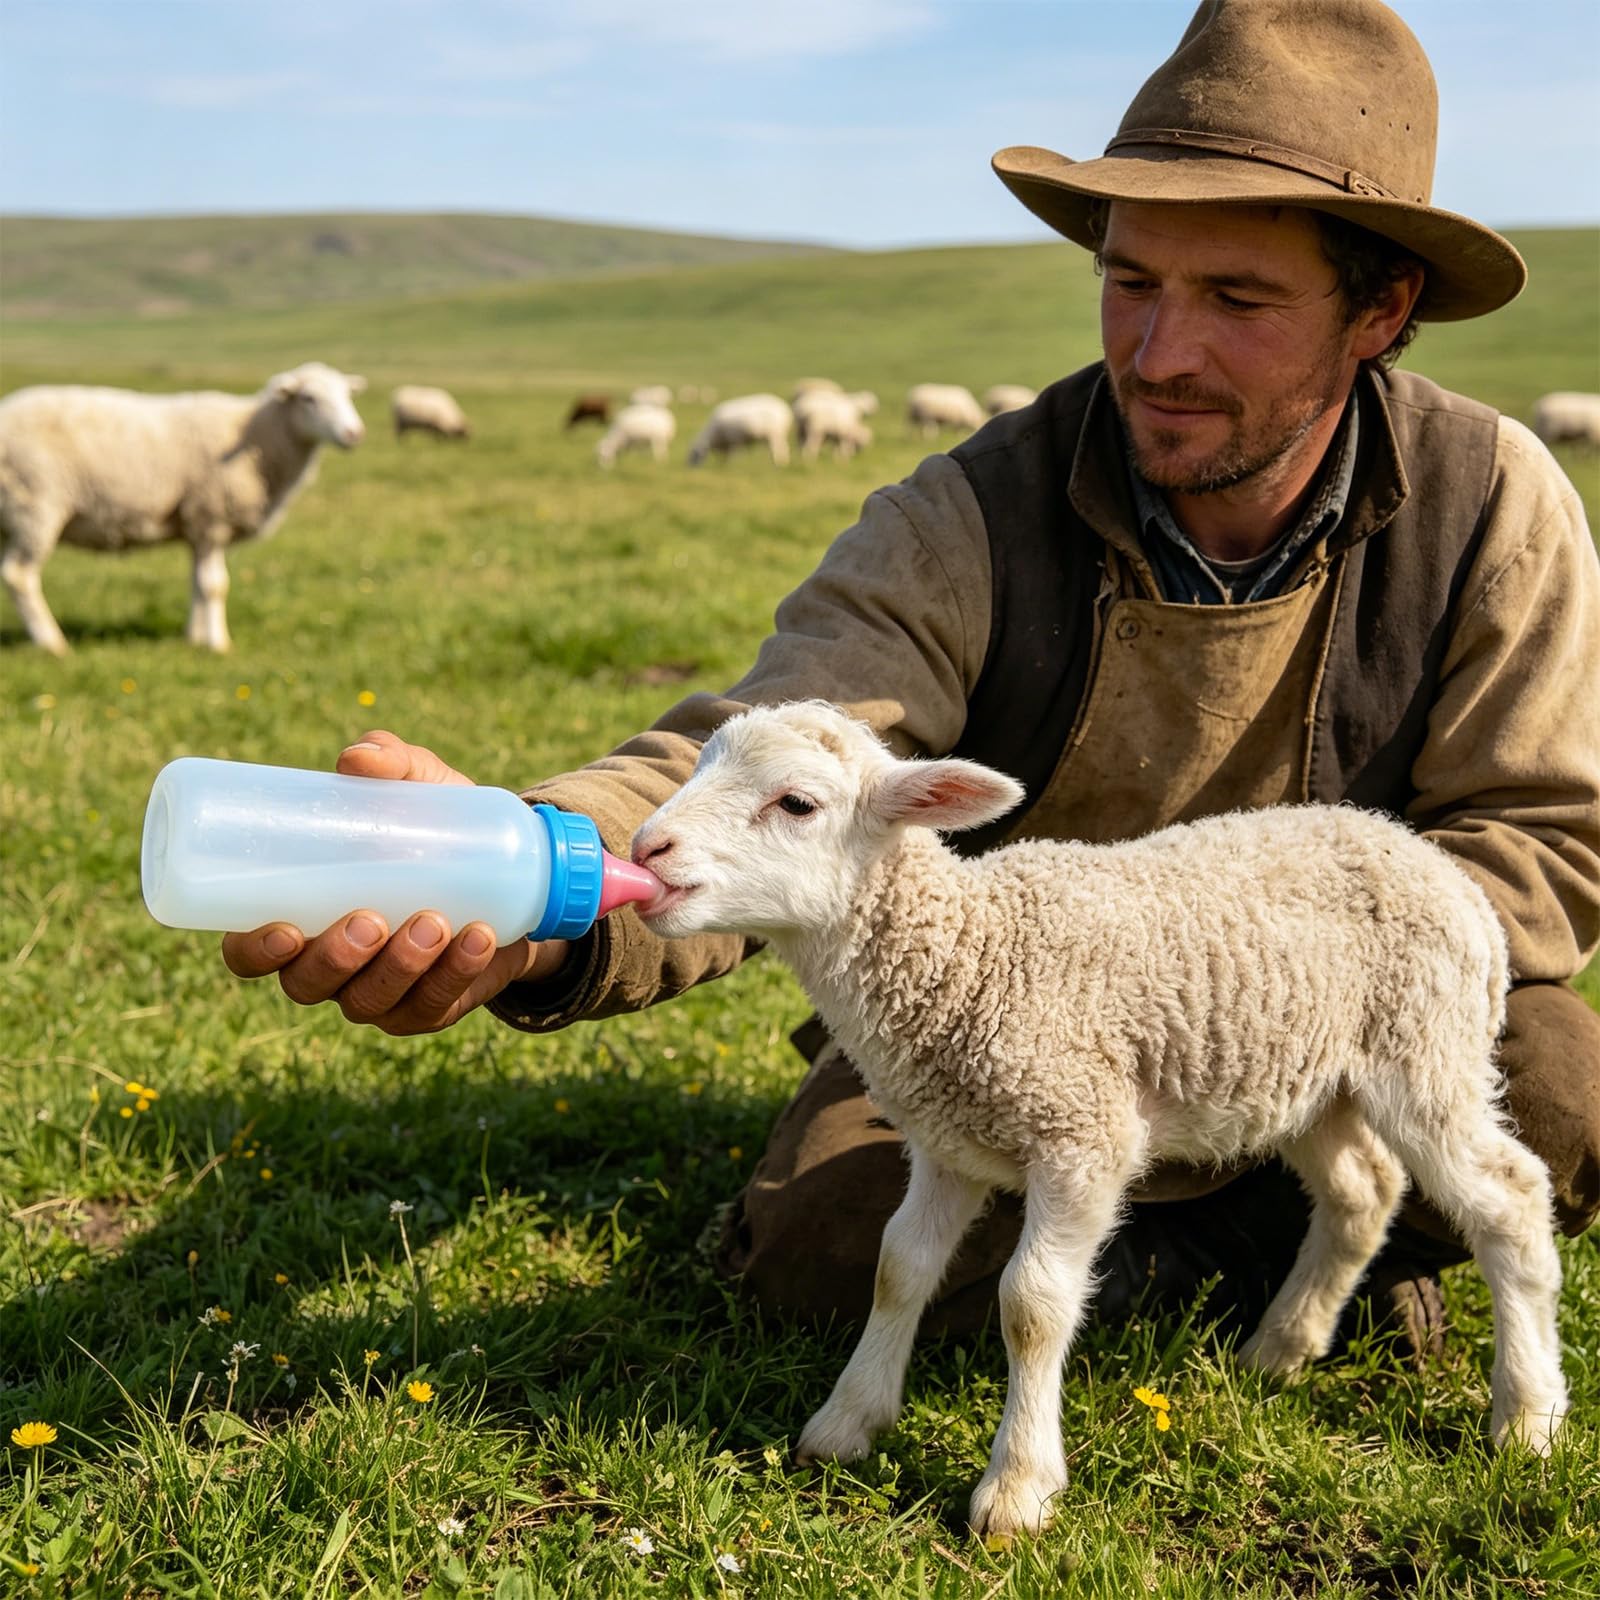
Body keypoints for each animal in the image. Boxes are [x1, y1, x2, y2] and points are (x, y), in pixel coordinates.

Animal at [0, 362, 366, 655]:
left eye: (348, 396)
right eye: (309, 398)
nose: (354, 433)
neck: (256, 436)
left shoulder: (197, 526)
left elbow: (197, 584)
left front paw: (194, 638)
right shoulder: (211, 516)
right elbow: (215, 586)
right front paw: (218, 645)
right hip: (36, 506)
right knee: (19, 576)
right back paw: (52, 643)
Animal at [632, 701, 1568, 1538]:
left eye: (797, 804)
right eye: (700, 762)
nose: (645, 848)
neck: (972, 956)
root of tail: (1424, 857)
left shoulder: (1083, 1134)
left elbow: (1032, 1303)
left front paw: (1017, 1489)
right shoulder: (946, 1142)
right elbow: (898, 1266)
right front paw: (847, 1423)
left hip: (1426, 1047)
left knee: (1511, 1196)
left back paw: (1528, 1417)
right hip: (1311, 1078)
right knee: (1362, 1188)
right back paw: (1281, 1350)